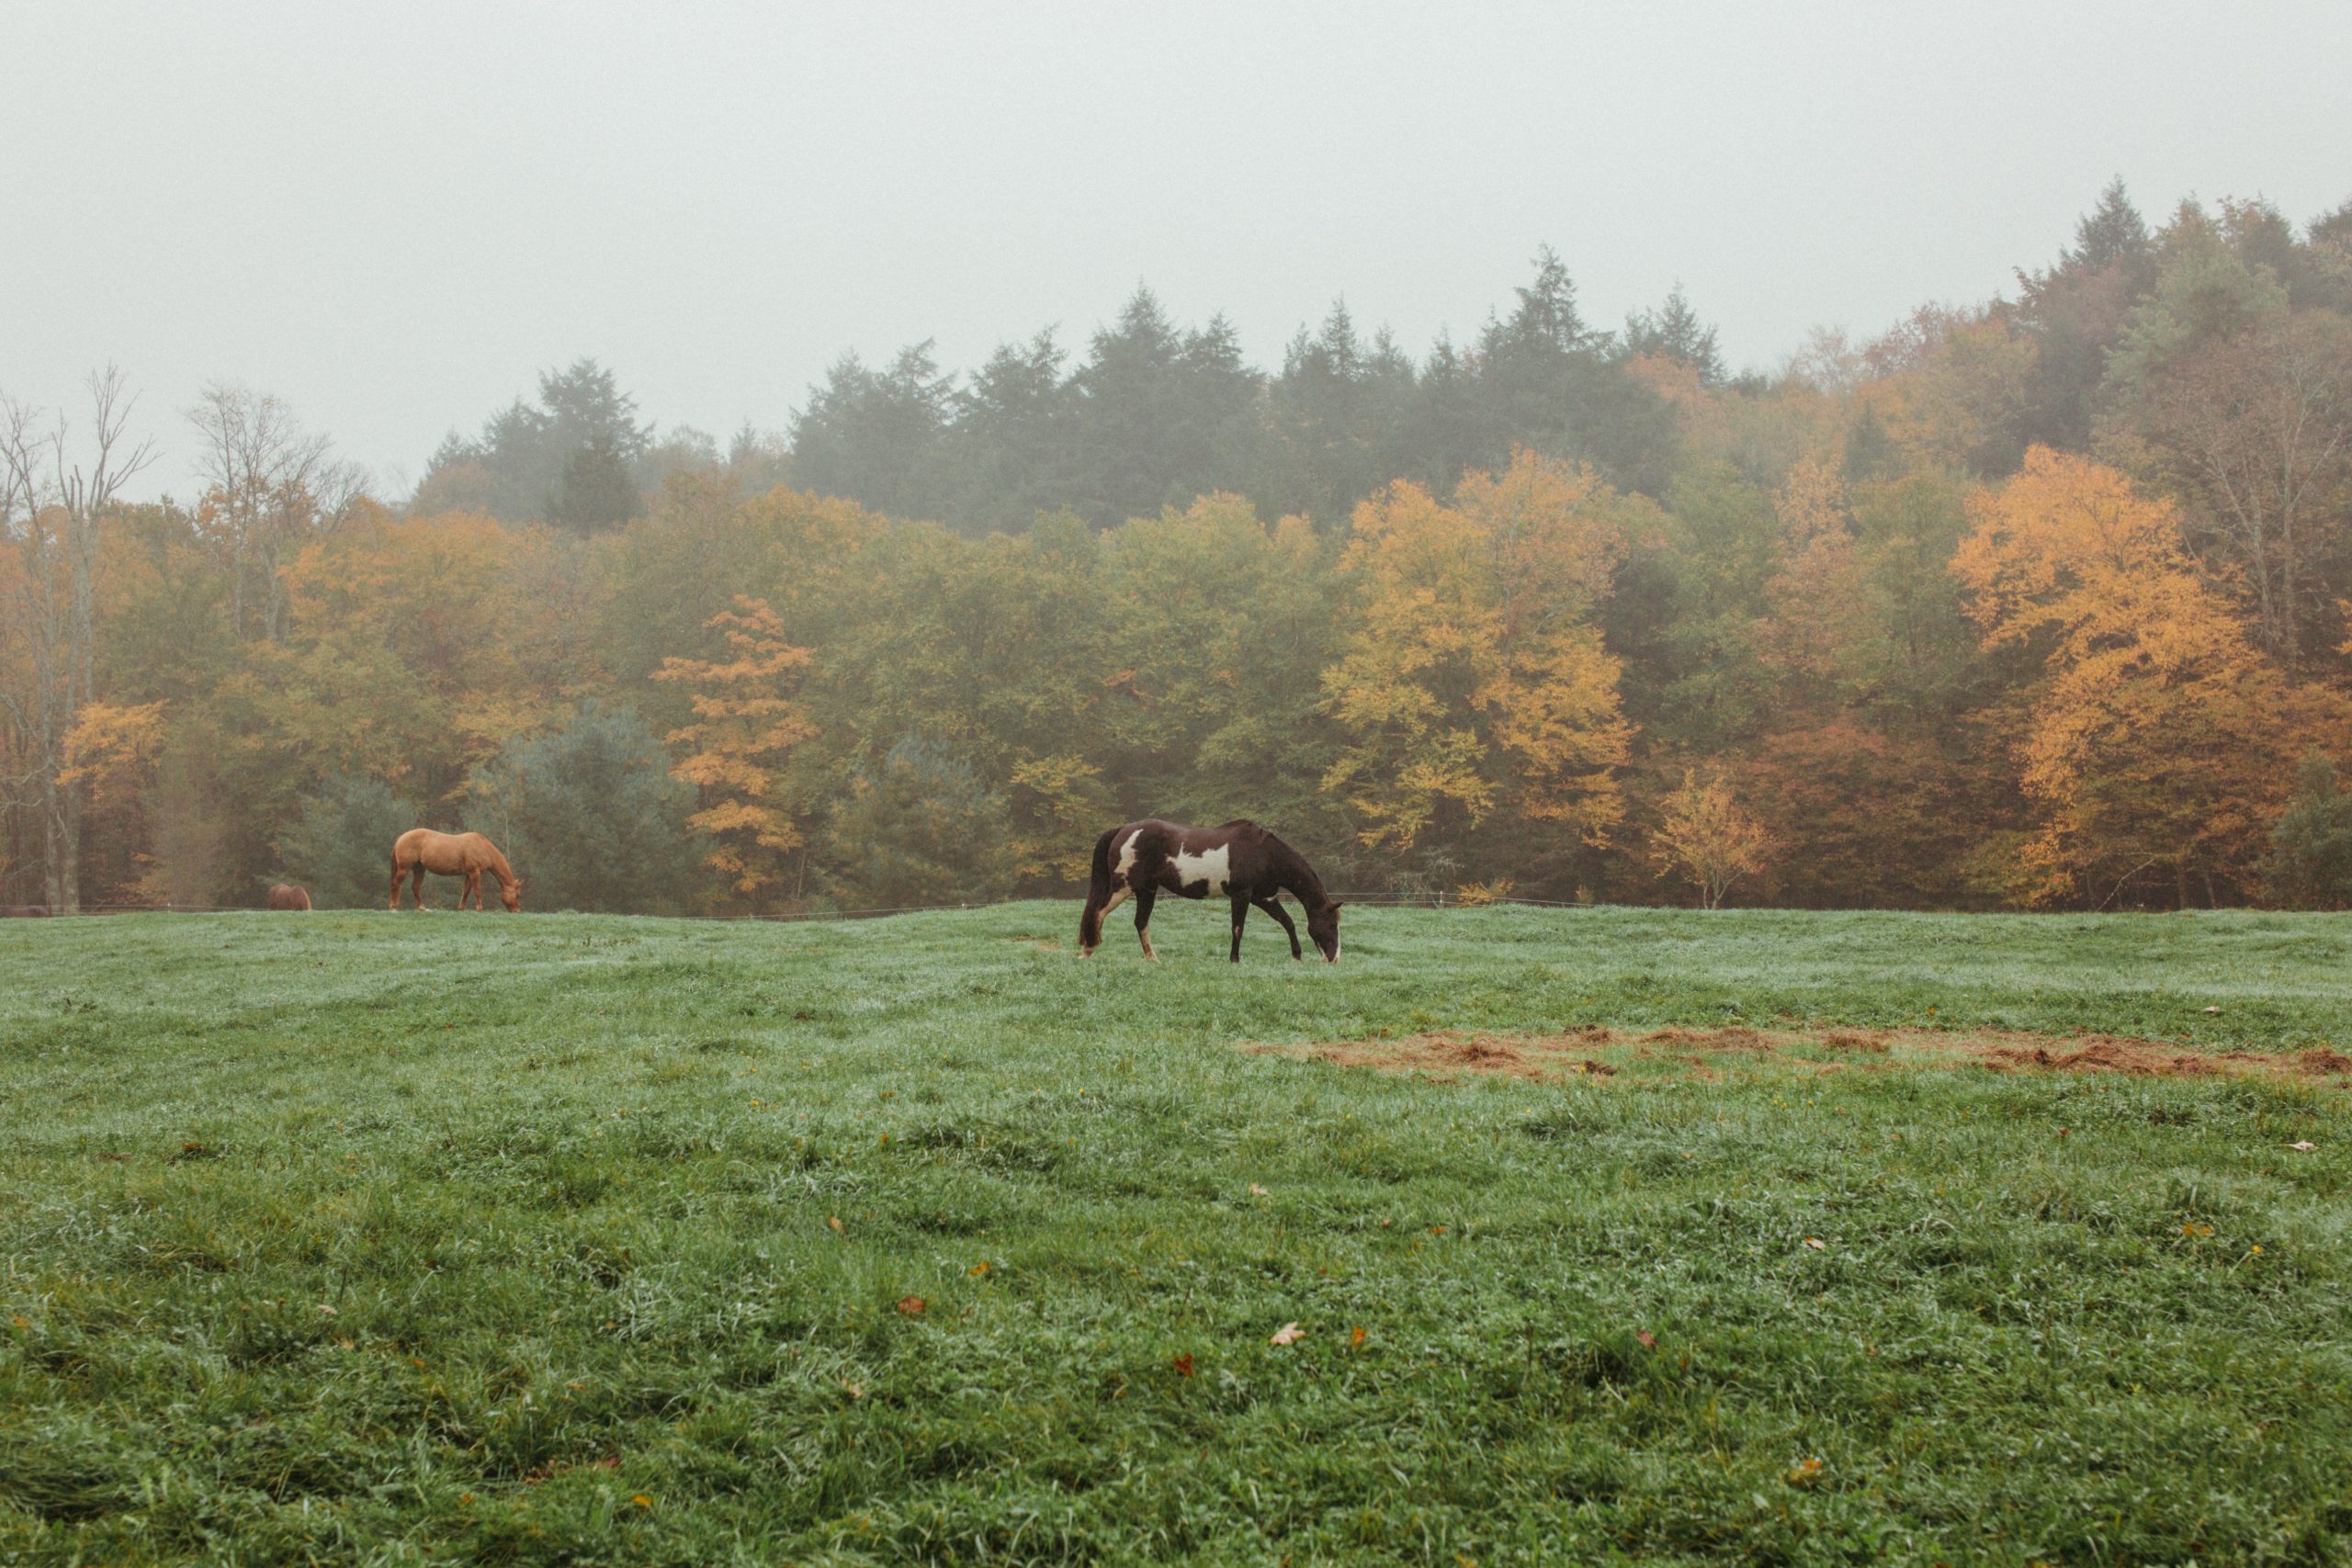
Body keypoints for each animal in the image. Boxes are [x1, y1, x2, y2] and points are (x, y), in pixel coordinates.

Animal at [388, 827, 522, 911]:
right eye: (518, 895)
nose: (517, 911)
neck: (483, 847)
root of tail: (401, 838)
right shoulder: (475, 872)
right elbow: (477, 890)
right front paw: (480, 909)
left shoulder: (469, 874)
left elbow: (466, 891)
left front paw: (461, 908)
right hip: (404, 868)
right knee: (396, 883)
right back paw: (393, 907)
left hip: (419, 869)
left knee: (415, 887)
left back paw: (422, 908)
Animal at [1077, 822, 1345, 968]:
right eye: (1332, 925)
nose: (1334, 959)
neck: (1263, 853)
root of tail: (1123, 830)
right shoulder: (1242, 894)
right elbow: (1238, 928)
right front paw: (1234, 960)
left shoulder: (1264, 898)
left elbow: (1287, 922)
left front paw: (1296, 957)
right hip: (1123, 888)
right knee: (1098, 913)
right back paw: (1087, 951)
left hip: (1147, 890)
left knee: (1140, 922)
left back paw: (1153, 960)